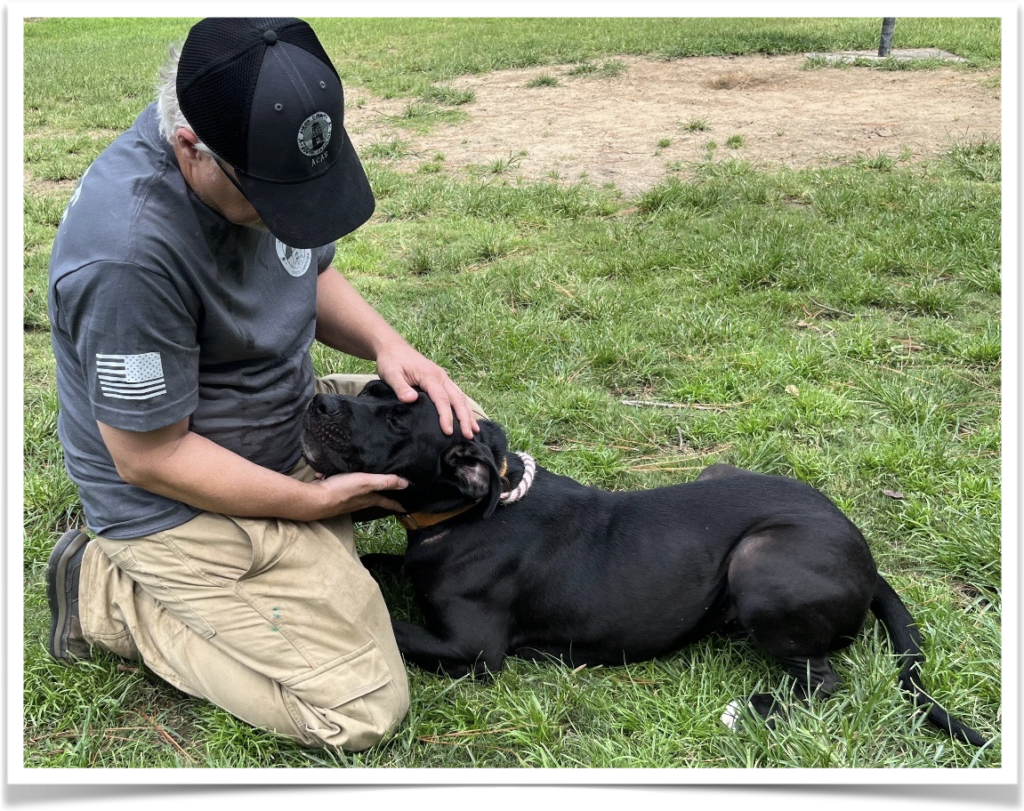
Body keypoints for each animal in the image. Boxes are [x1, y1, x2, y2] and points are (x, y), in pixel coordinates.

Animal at [299, 380, 987, 749]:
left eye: (397, 420)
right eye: (370, 389)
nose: (317, 405)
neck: (466, 511)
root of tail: (864, 555)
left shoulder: (473, 650)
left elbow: (391, 622)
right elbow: (383, 569)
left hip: (760, 563)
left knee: (826, 683)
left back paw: (749, 711)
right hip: (720, 474)